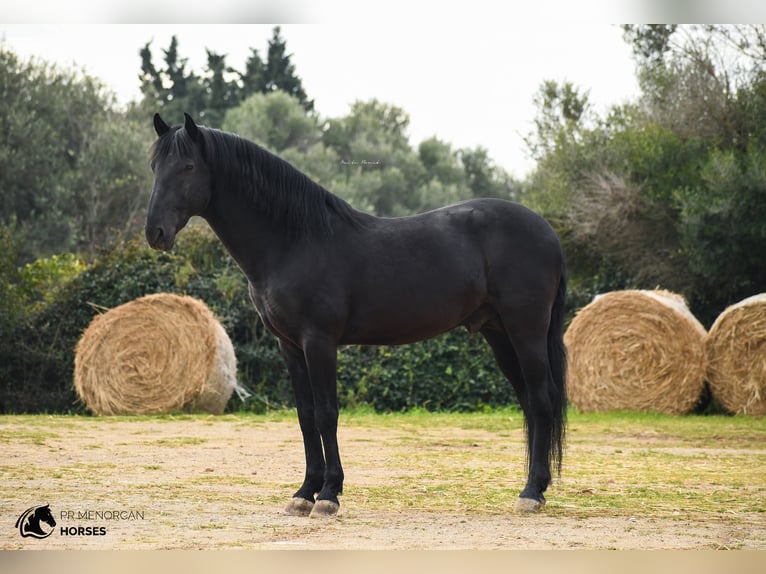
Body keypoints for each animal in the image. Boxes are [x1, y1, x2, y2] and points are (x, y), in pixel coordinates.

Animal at [147, 115, 568, 520]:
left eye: (187, 166)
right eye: (154, 166)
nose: (155, 233)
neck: (294, 241)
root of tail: (547, 231)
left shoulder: (319, 341)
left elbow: (326, 414)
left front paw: (329, 495)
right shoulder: (289, 346)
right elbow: (305, 416)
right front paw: (304, 493)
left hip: (526, 331)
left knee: (541, 399)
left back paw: (531, 493)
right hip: (498, 333)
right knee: (529, 400)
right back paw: (536, 487)